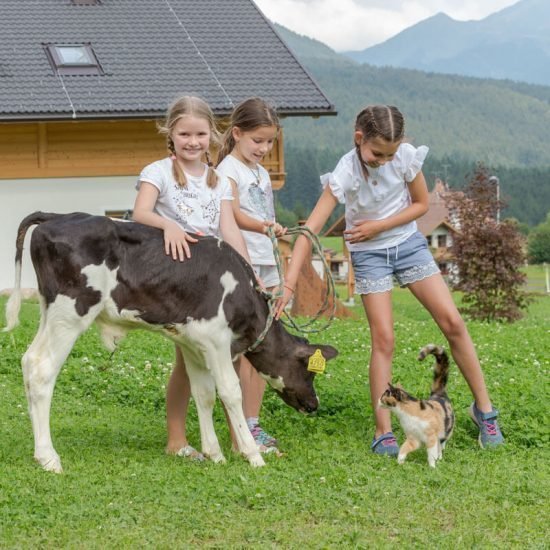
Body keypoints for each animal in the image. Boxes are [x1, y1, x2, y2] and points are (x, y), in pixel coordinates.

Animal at [4, 213, 338, 472]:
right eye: (308, 370)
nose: (314, 404)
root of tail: (58, 217)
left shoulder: (194, 344)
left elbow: (203, 394)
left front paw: (214, 453)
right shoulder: (217, 341)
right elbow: (231, 392)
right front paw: (252, 454)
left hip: (51, 311)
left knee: (28, 361)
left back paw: (39, 451)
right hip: (71, 312)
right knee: (42, 370)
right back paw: (48, 457)